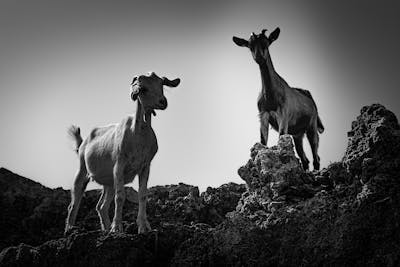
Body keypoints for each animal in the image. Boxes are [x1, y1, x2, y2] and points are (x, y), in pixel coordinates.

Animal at [65, 72, 180, 233]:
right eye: (143, 88)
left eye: (161, 84)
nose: (162, 102)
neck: (138, 135)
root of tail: (82, 143)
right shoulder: (119, 165)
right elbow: (120, 197)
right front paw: (117, 228)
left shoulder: (145, 167)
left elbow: (142, 195)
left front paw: (143, 227)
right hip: (82, 170)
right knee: (74, 202)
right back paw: (69, 230)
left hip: (108, 182)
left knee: (101, 206)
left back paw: (106, 229)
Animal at [233, 28, 324, 171]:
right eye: (250, 46)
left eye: (266, 43)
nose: (259, 57)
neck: (271, 96)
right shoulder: (263, 115)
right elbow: (263, 140)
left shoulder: (283, 114)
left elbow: (281, 135)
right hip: (297, 134)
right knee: (305, 159)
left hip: (312, 125)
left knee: (316, 155)